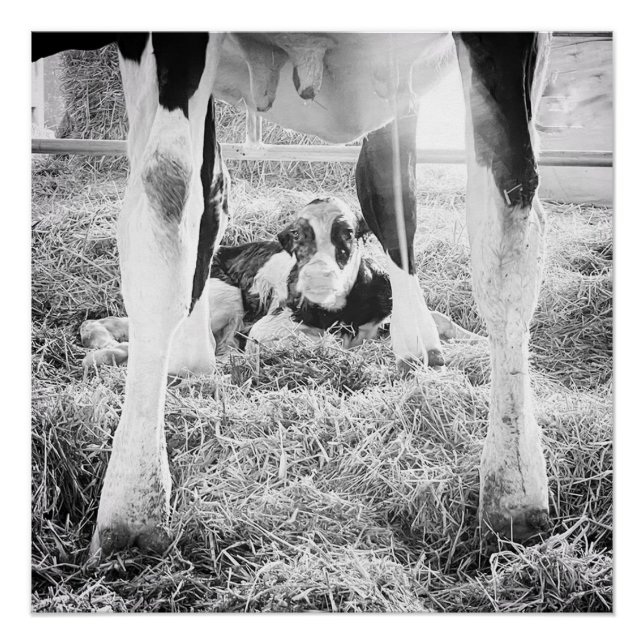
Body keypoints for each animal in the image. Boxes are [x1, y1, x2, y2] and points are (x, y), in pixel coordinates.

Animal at [32, 31, 552, 555]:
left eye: (347, 237)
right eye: (296, 239)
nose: (317, 278)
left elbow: (503, 216)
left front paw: (514, 491)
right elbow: (171, 201)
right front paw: (134, 509)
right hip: (222, 292)